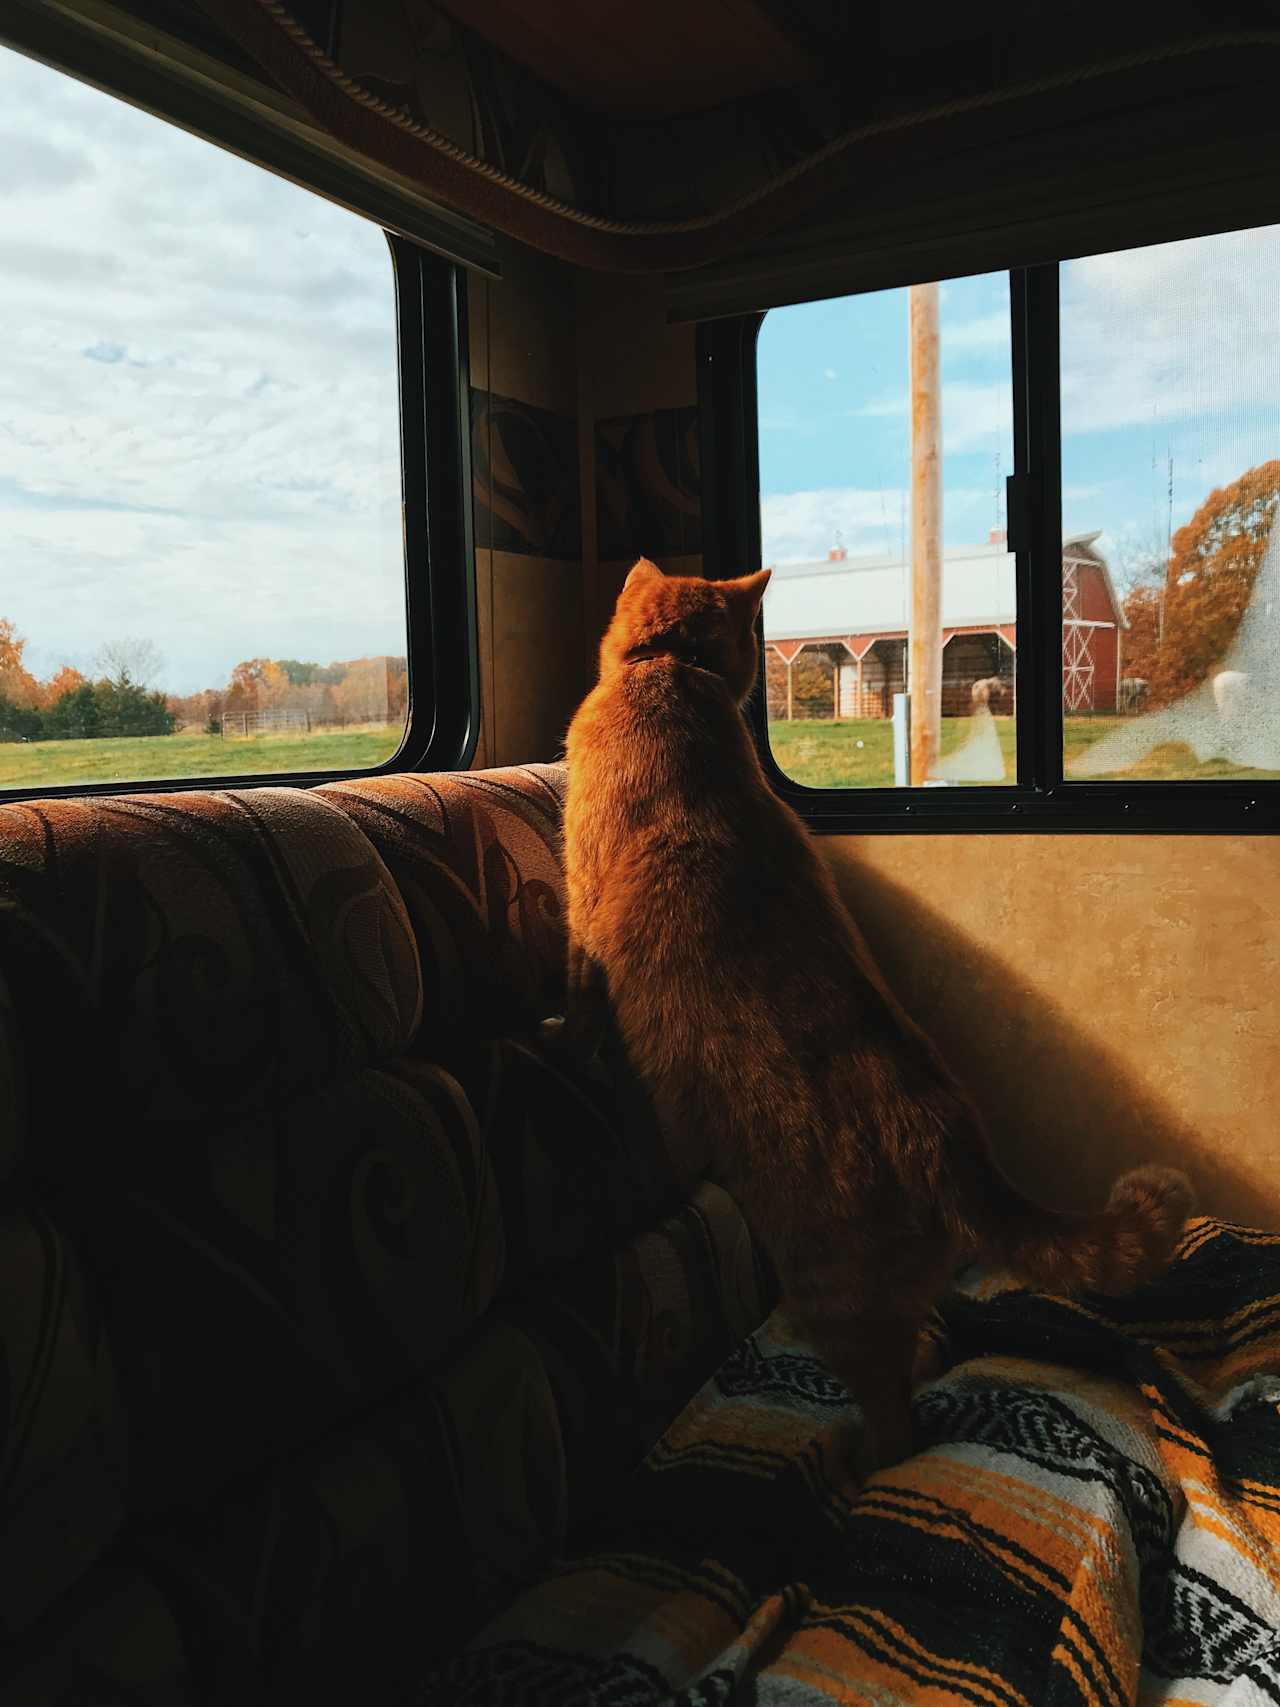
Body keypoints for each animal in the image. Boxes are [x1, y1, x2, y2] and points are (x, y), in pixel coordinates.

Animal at [566, 559, 1201, 1468]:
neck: (671, 669)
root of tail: (958, 1138)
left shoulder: (582, 905)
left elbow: (578, 988)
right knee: (931, 1343)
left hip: (832, 1295)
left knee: (898, 1419)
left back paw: (845, 1456)